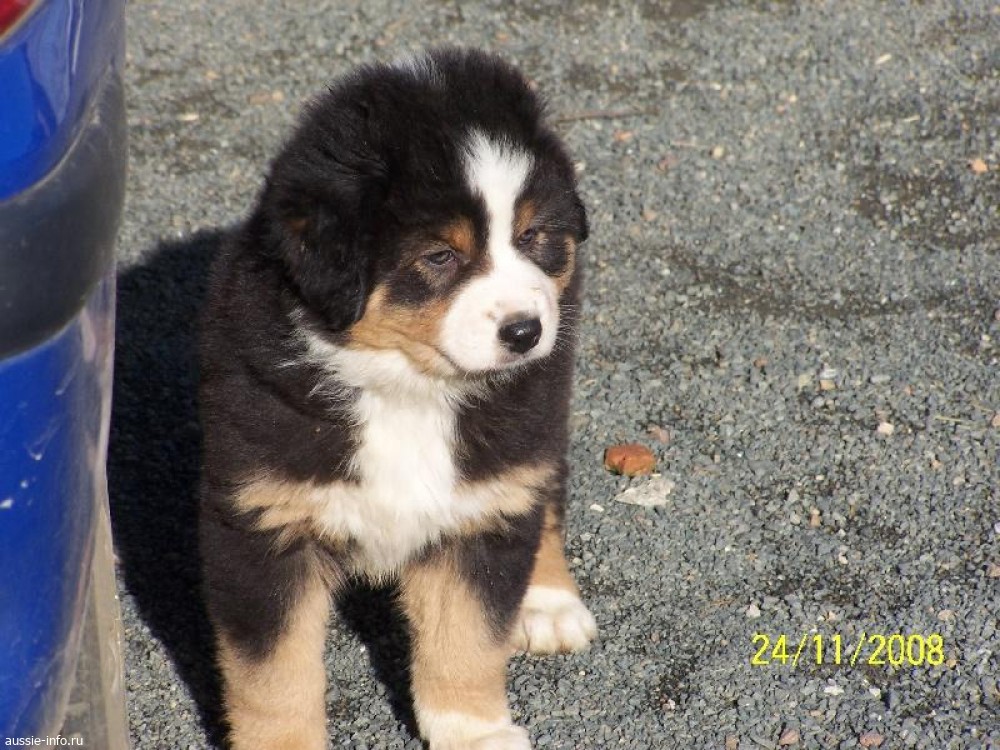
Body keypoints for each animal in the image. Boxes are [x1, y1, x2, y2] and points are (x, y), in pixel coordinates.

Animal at [199, 48, 594, 750]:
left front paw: (475, 733)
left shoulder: (477, 512)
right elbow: (272, 673)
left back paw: (549, 599)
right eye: (439, 256)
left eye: (533, 237)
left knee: (544, 483)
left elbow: (467, 637)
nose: (525, 331)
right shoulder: (260, 525)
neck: (406, 389)